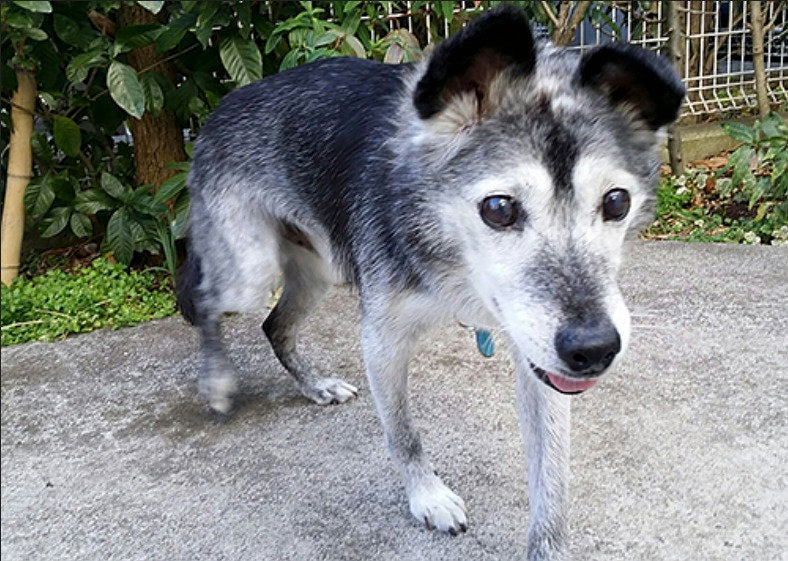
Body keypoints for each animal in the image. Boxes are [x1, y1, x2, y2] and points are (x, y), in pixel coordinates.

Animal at [179, 6, 684, 556]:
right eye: (499, 208)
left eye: (617, 202)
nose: (593, 349)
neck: (448, 256)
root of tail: (225, 105)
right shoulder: (382, 341)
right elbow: (403, 435)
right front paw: (428, 498)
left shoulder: (539, 356)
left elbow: (552, 484)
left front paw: (547, 546)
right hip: (249, 271)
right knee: (205, 301)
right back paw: (217, 382)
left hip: (318, 271)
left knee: (275, 326)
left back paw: (316, 387)